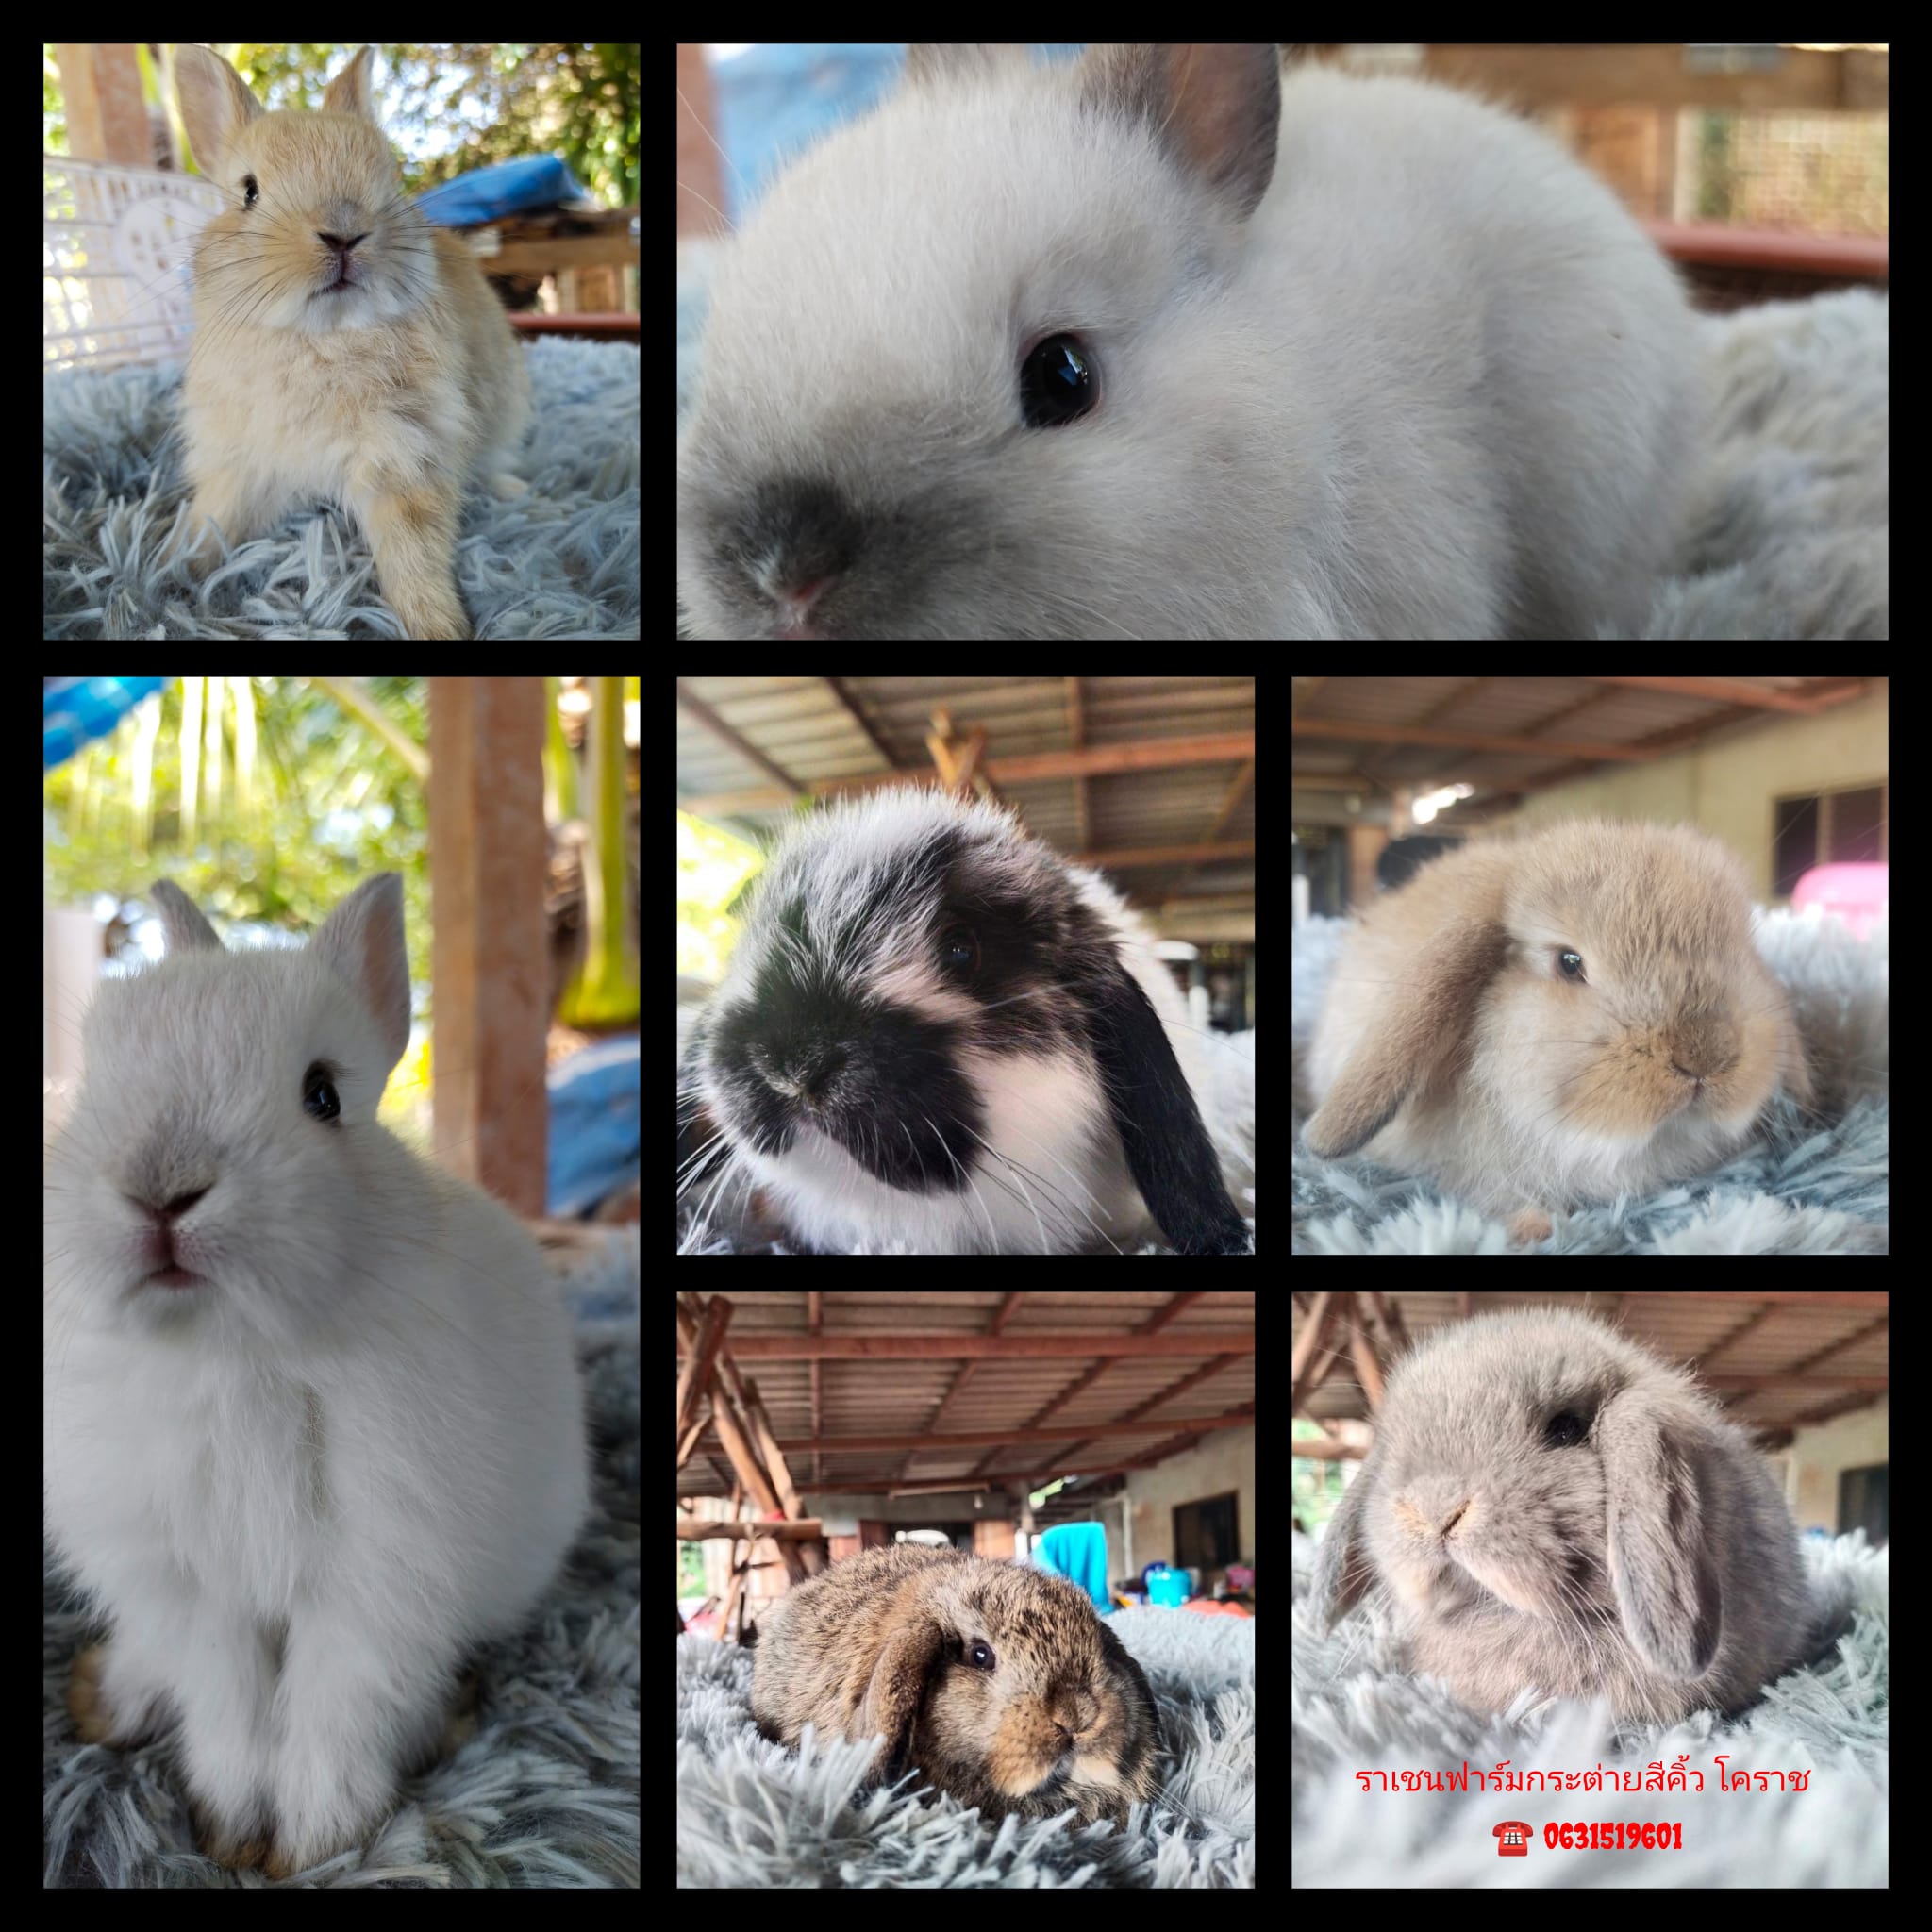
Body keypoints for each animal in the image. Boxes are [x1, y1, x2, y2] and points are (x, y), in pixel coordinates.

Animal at [42, 875, 587, 1875]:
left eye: (323, 1095)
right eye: (96, 1084)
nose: (161, 1191)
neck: (237, 1357)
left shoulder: (380, 1581)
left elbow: (337, 1704)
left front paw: (314, 1841)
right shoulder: (194, 1591)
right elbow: (227, 1704)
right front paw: (229, 1826)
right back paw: (110, 1696)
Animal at [172, 45, 531, 641]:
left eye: (391, 180)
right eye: (249, 191)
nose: (343, 233)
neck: (323, 336)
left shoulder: (405, 457)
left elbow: (413, 556)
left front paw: (438, 626)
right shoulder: (238, 460)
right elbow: (214, 519)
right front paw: (171, 572)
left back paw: (514, 491)